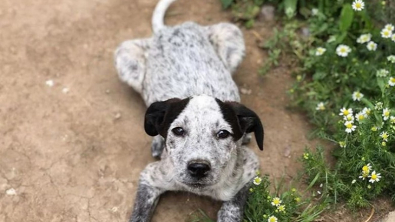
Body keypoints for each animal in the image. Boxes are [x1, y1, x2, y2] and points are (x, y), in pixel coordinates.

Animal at [114, 0, 264, 221]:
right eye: (178, 131)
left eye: (223, 134)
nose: (198, 168)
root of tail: (169, 30)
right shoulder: (150, 177)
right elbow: (140, 213)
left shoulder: (250, 169)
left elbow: (233, 206)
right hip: (125, 56)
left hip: (231, 33)